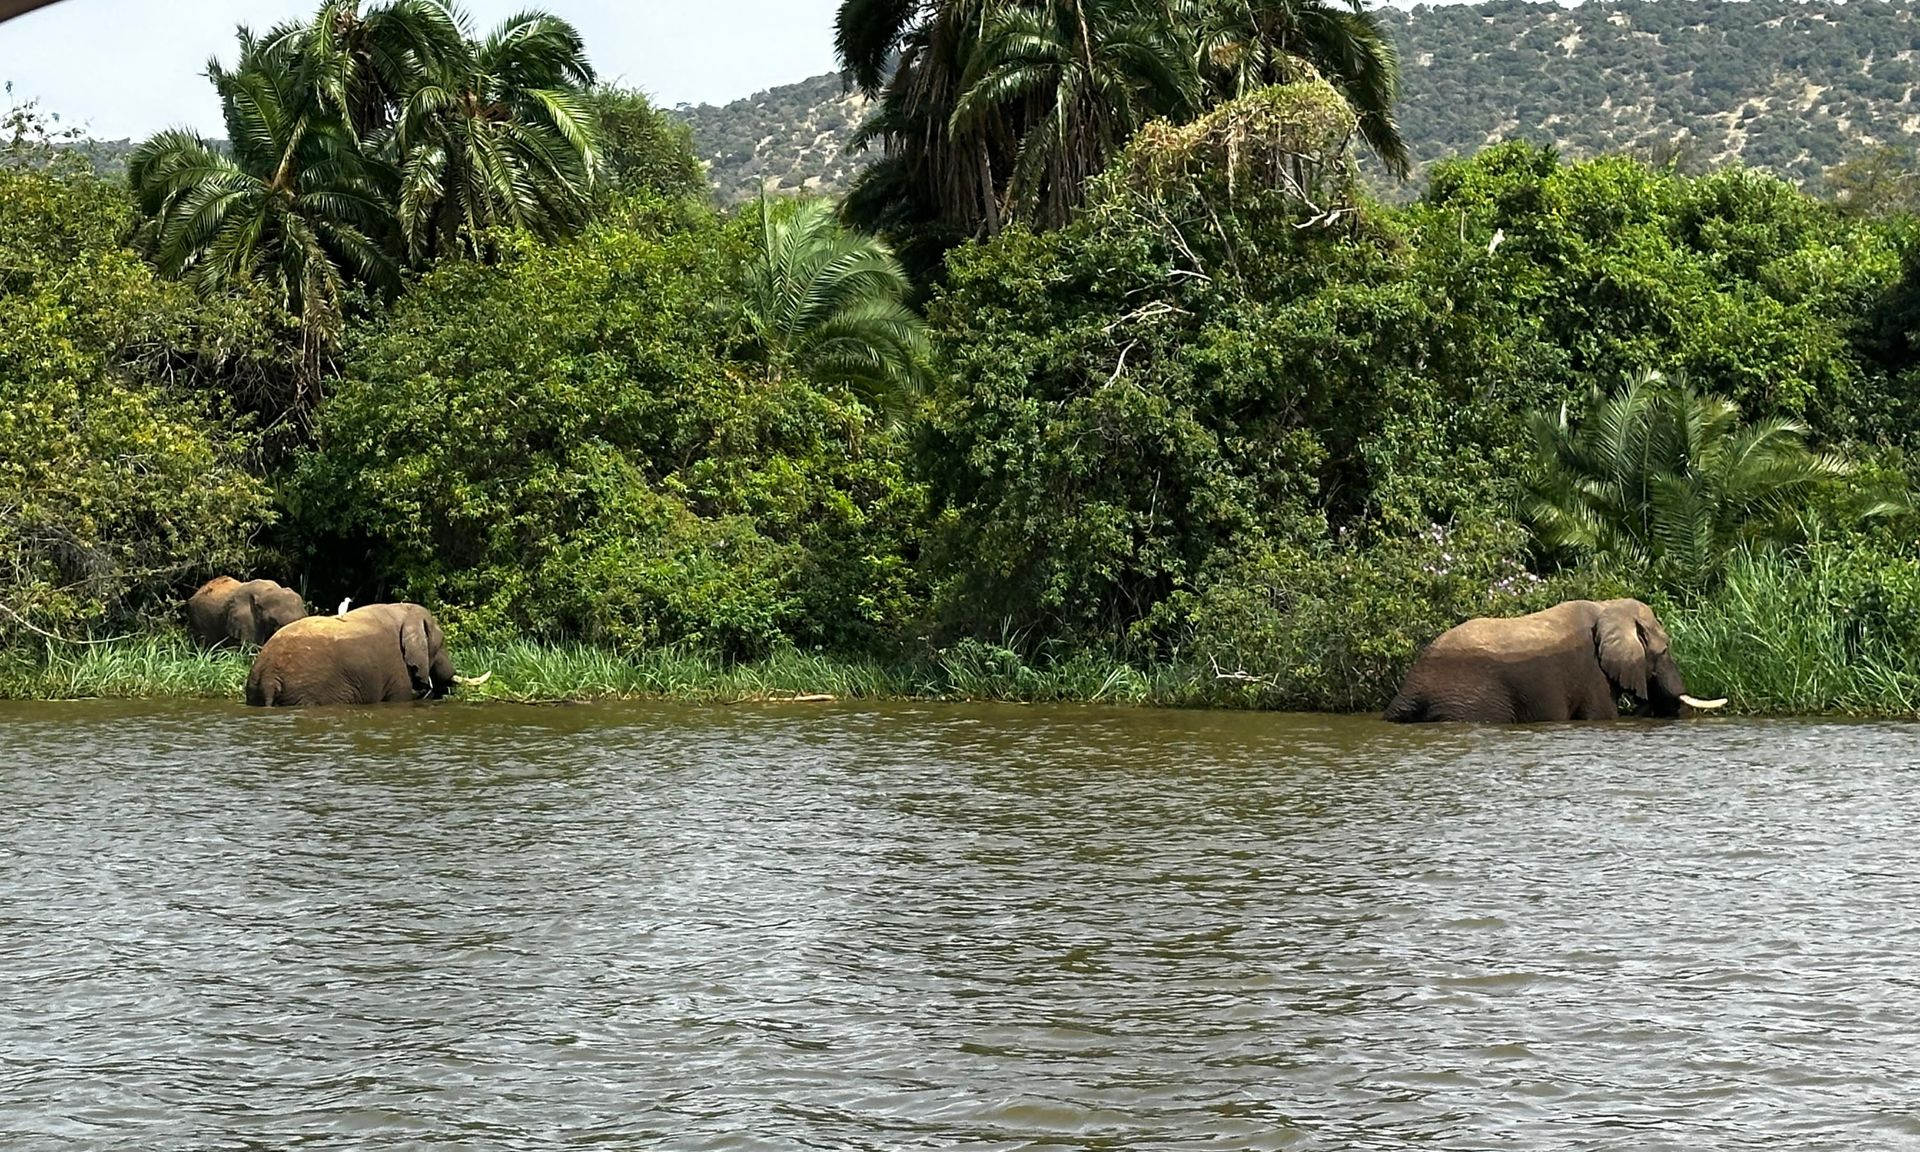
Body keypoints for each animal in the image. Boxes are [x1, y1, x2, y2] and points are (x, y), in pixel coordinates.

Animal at [244, 602, 488, 707]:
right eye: (443, 643)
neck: (405, 612)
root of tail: (268, 678)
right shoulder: (396, 666)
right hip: (309, 690)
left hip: (255, 689)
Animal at [1384, 598, 1726, 724]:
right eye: (1665, 649)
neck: (1607, 606)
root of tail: (1409, 688)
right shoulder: (1591, 672)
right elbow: (1601, 715)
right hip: (1466, 702)